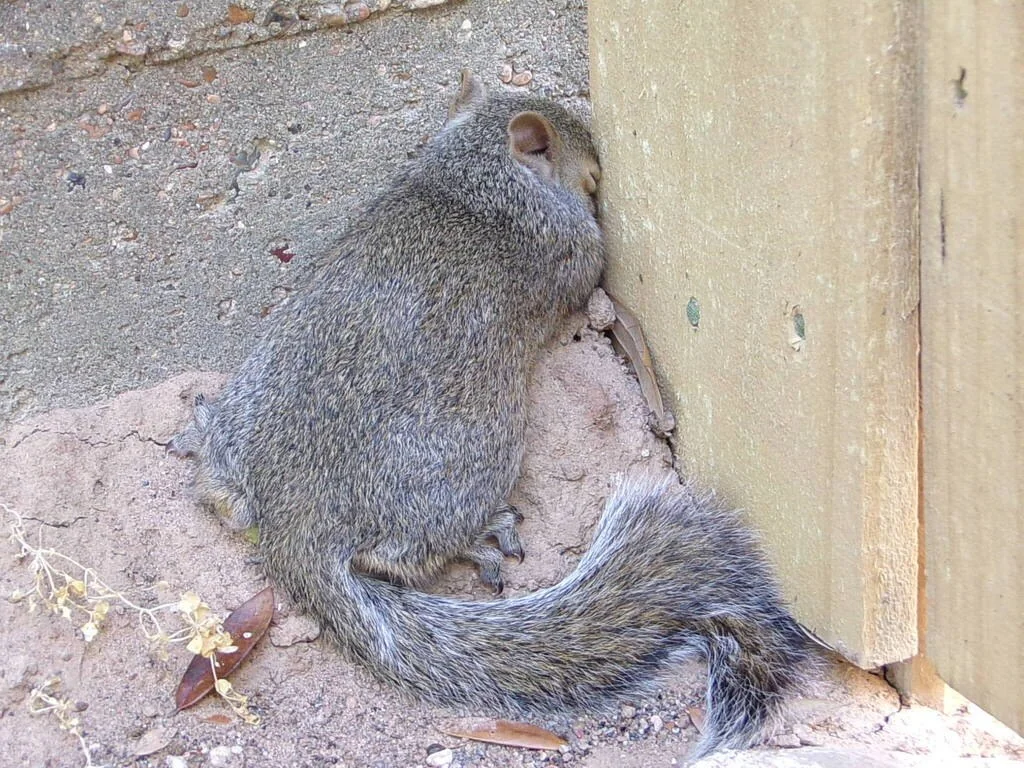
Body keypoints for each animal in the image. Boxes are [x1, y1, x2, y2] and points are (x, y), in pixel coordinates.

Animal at [170, 70, 817, 759]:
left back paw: (200, 439)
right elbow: (587, 268)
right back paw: (481, 536)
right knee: (401, 555)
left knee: (228, 498)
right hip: (466, 467)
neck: (470, 176)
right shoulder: (570, 249)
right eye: (588, 171)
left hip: (246, 423)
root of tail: (298, 526)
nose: (597, 179)